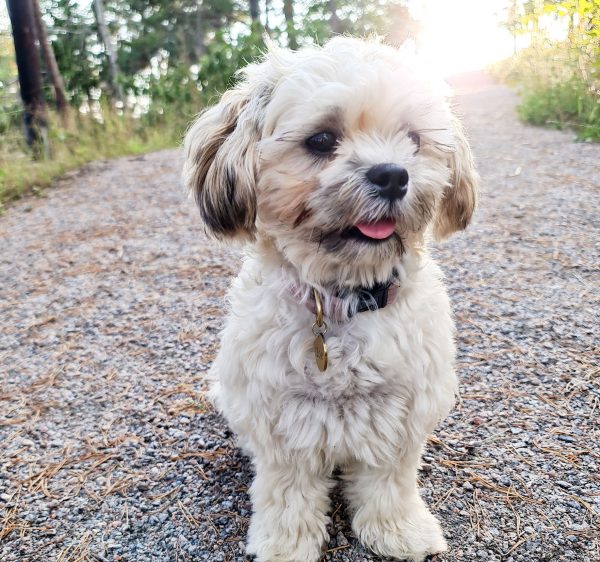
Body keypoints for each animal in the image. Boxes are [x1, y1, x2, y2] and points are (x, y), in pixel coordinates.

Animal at [183, 38, 478, 560]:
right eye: (321, 140)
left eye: (414, 139)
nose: (392, 174)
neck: (343, 298)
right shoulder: (282, 423)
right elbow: (288, 493)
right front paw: (285, 544)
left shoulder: (400, 413)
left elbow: (389, 482)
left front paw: (400, 530)